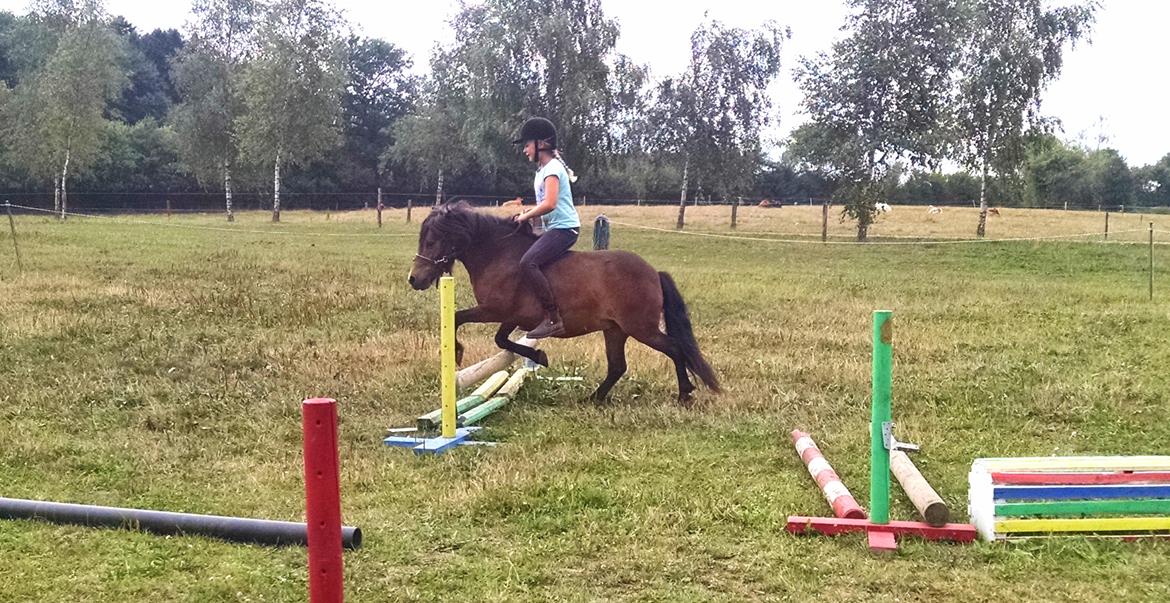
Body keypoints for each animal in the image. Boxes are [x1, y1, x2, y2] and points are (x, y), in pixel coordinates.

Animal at [411, 202, 720, 405]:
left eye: (432, 241)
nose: (414, 279)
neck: (498, 256)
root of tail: (653, 272)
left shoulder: (493, 310)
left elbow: (459, 318)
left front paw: (457, 353)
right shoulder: (512, 318)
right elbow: (502, 340)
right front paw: (539, 356)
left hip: (640, 328)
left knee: (675, 349)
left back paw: (684, 394)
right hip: (615, 330)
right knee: (617, 366)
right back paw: (594, 398)